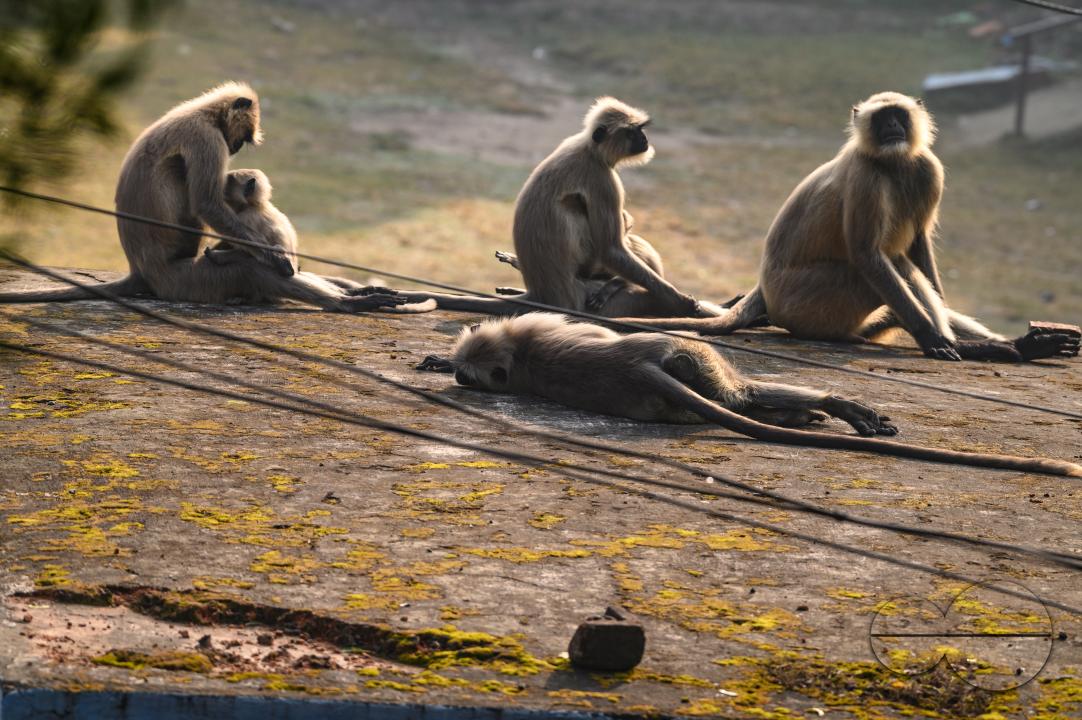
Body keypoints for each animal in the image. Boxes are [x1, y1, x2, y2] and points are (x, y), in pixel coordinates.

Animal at [0, 82, 420, 314]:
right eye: (242, 138)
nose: (235, 147)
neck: (201, 112)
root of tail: (141, 272)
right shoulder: (206, 139)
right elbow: (208, 205)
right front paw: (280, 261)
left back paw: (357, 291)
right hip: (184, 281)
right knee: (250, 269)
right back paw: (345, 302)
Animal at [398, 97, 717, 318]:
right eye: (633, 132)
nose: (645, 140)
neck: (589, 150)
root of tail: (544, 294)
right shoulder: (602, 179)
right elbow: (611, 248)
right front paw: (680, 300)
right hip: (586, 292)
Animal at [445, 313, 1082, 477]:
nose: (460, 373)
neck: (521, 357)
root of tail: (641, 369)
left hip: (682, 383)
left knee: (739, 403)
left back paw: (802, 417)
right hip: (693, 357)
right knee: (745, 392)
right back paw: (834, 410)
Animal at [613, 92, 1079, 363]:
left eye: (897, 116)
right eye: (881, 119)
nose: (891, 127)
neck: (892, 163)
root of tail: (765, 292)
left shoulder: (928, 168)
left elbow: (918, 247)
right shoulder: (865, 176)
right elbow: (868, 254)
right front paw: (934, 339)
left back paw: (1016, 345)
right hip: (813, 304)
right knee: (884, 267)